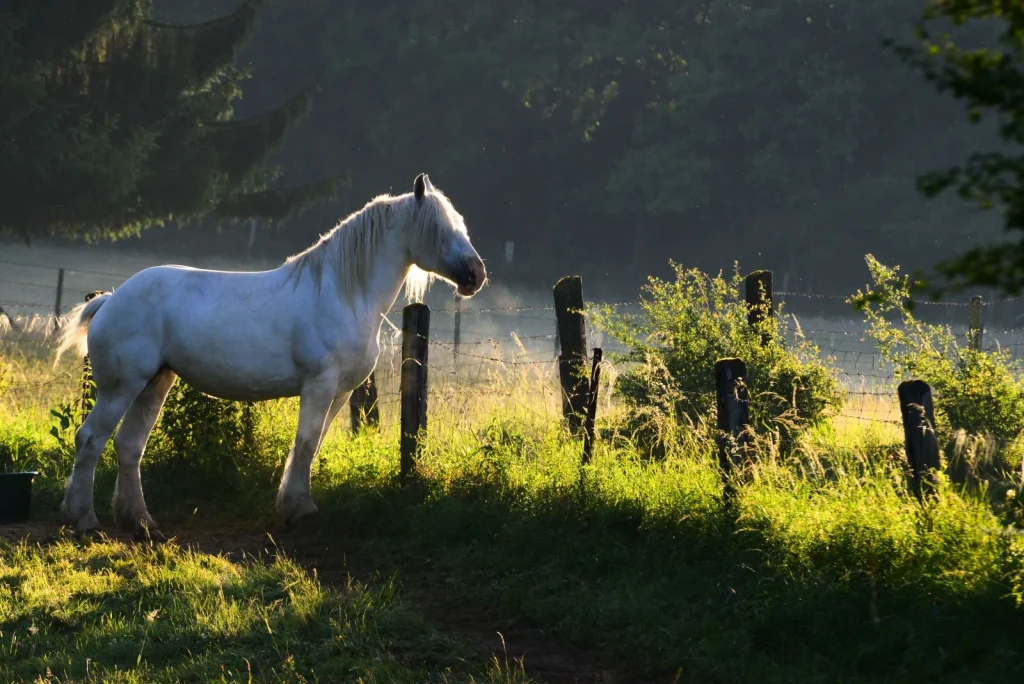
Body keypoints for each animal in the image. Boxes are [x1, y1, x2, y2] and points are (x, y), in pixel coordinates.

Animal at [54, 175, 485, 540]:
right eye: (440, 228)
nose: (476, 275)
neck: (344, 295)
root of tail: (111, 299)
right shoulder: (319, 385)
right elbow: (306, 442)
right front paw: (300, 510)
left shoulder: (341, 392)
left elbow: (312, 444)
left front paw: (294, 504)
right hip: (120, 389)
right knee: (90, 439)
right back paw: (84, 519)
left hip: (154, 384)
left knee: (129, 446)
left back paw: (140, 522)